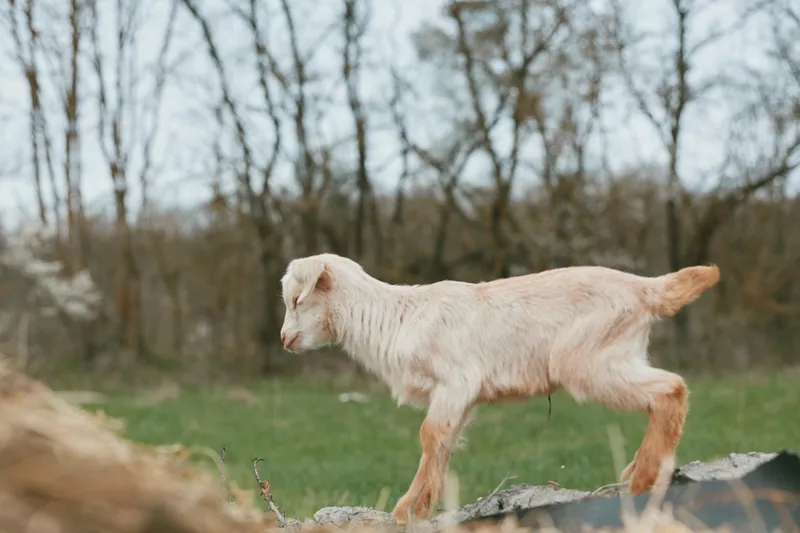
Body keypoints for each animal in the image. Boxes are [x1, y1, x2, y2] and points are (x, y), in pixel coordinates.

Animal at [279, 253, 720, 524]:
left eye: (297, 299)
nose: (284, 338)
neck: (398, 317)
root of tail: (647, 289)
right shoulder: (462, 397)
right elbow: (444, 441)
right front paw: (424, 503)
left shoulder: (456, 380)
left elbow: (430, 434)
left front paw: (407, 509)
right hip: (618, 356)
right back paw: (638, 471)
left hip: (588, 361)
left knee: (671, 388)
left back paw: (642, 478)